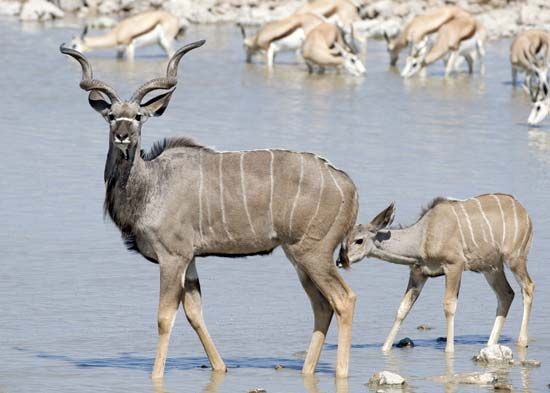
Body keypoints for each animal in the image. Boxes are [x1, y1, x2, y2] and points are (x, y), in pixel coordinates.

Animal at [61, 39, 362, 376]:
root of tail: (348, 185)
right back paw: (307, 371)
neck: (152, 184)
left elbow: (164, 318)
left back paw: (341, 372)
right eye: (111, 115)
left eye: (138, 116)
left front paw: (156, 375)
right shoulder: (190, 259)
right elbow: (194, 312)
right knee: (322, 306)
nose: (122, 136)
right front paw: (221, 368)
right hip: (299, 257)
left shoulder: (172, 257)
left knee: (344, 299)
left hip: (313, 253)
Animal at [338, 194, 536, 350]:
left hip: (515, 258)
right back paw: (490, 344)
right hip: (491, 268)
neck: (423, 236)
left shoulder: (454, 265)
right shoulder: (418, 273)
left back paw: (521, 341)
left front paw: (449, 350)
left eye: (359, 240)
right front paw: (385, 348)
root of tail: (524, 213)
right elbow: (402, 308)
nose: (340, 261)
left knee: (528, 286)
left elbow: (449, 305)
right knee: (506, 294)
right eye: (344, 240)